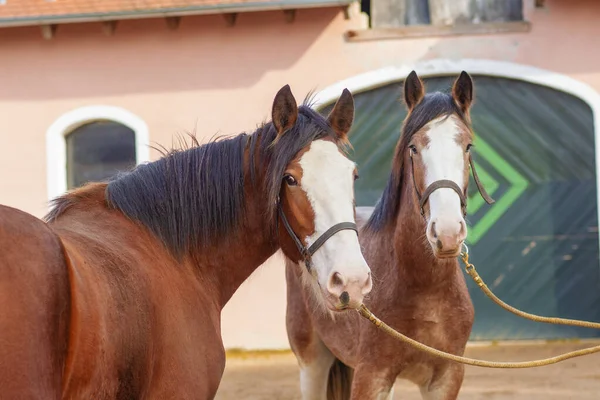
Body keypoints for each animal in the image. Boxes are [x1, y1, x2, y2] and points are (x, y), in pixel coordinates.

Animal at [284, 70, 492, 398]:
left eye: (468, 146)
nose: (447, 232)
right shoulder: (372, 377)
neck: (423, 287)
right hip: (312, 361)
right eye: (414, 148)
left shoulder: (445, 378)